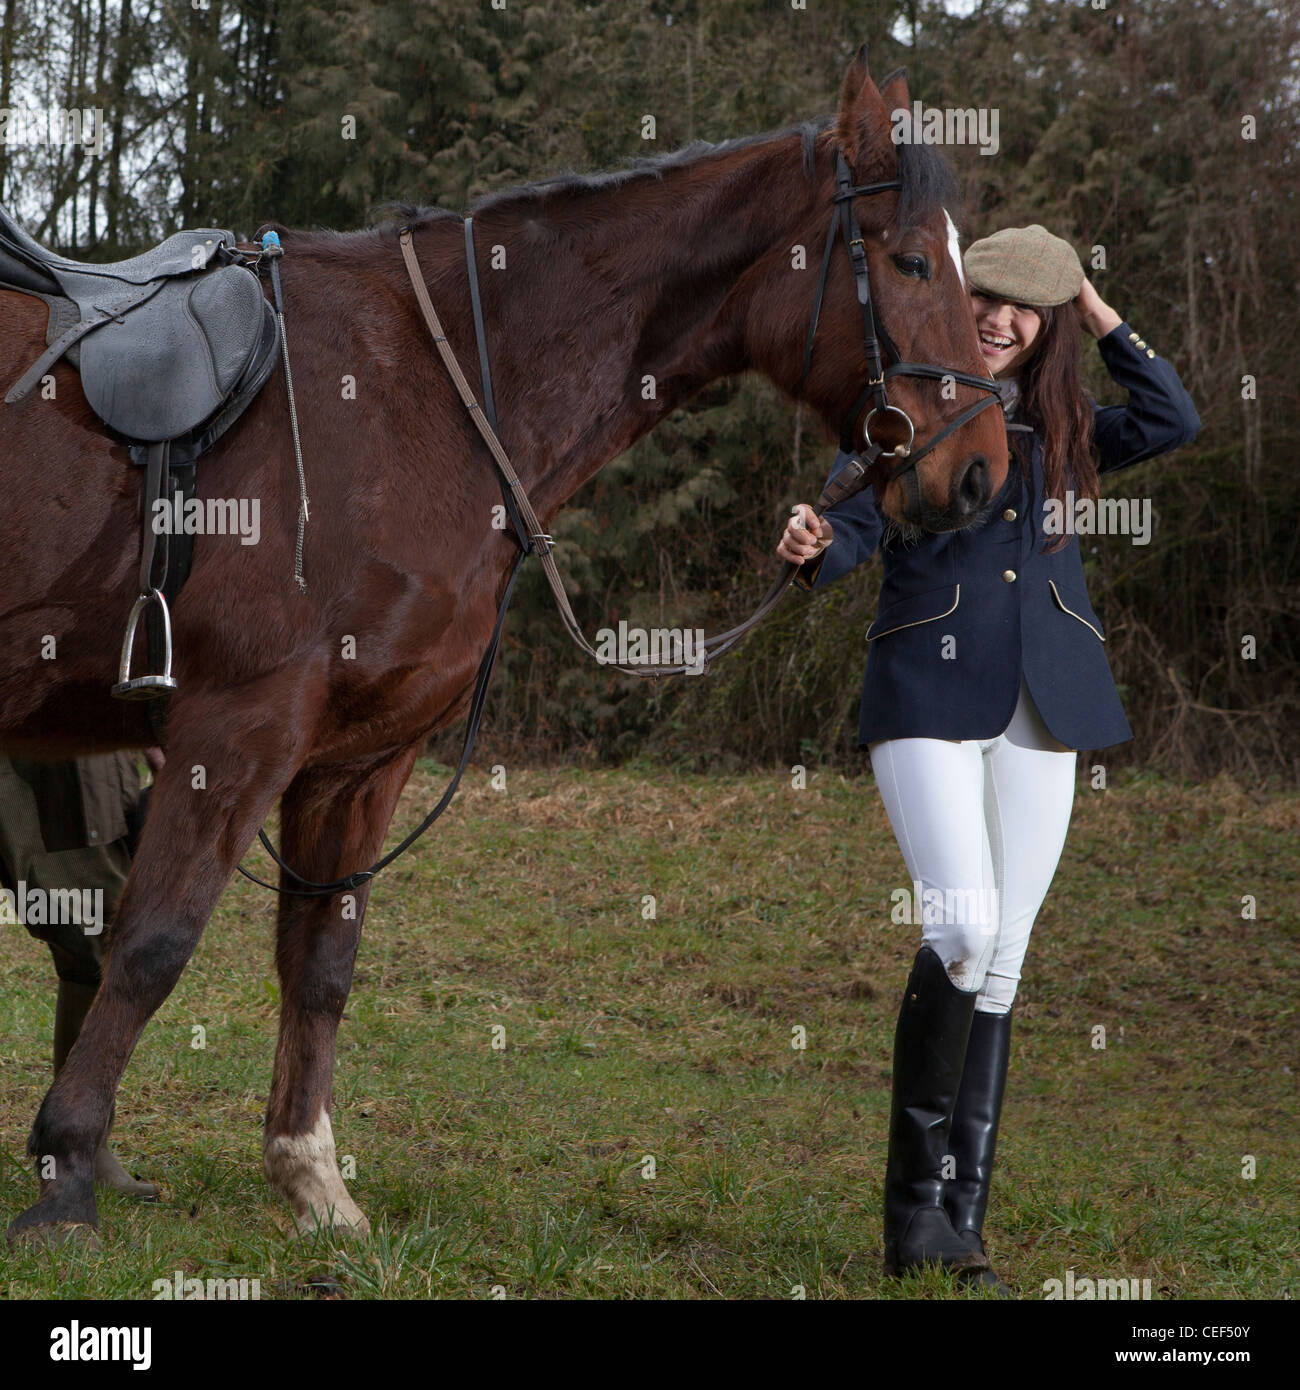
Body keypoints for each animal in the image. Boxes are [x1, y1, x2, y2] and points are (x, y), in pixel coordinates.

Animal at [0, 51, 1007, 1241]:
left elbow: (321, 961)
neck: (423, 395)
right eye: (910, 260)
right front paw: (66, 1172)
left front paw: (312, 1178)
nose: (980, 474)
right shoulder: (237, 725)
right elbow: (153, 941)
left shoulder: (357, 759)